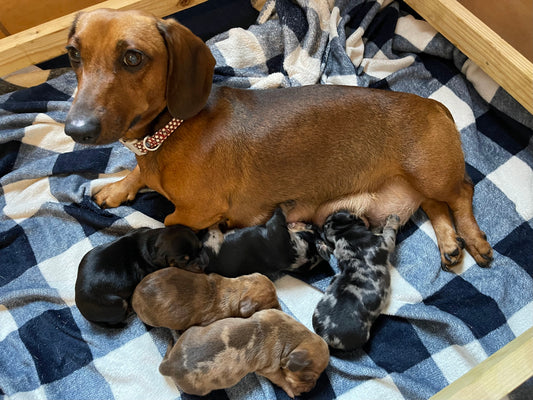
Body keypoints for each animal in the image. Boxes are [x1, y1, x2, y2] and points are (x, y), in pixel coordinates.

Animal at [158, 306, 328, 396]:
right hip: (199, 390)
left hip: (190, 332)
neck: (292, 338)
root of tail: (170, 365)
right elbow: (280, 379)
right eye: (308, 378)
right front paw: (292, 391)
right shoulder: (269, 370)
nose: (311, 388)